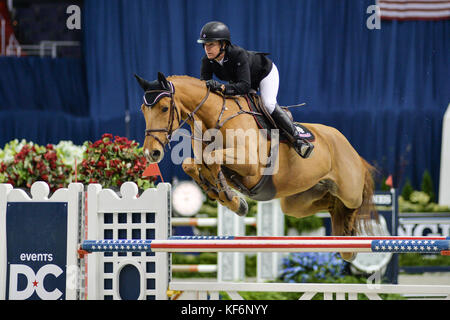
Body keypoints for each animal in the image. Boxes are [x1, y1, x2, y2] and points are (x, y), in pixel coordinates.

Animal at [135, 72, 378, 260]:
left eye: (164, 108)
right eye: (143, 110)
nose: (151, 153)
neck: (215, 118)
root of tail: (351, 149)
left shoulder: (251, 167)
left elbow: (212, 159)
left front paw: (229, 197)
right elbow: (192, 164)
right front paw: (228, 197)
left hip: (348, 190)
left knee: (352, 204)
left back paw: (349, 234)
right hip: (297, 202)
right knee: (330, 204)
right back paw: (344, 236)